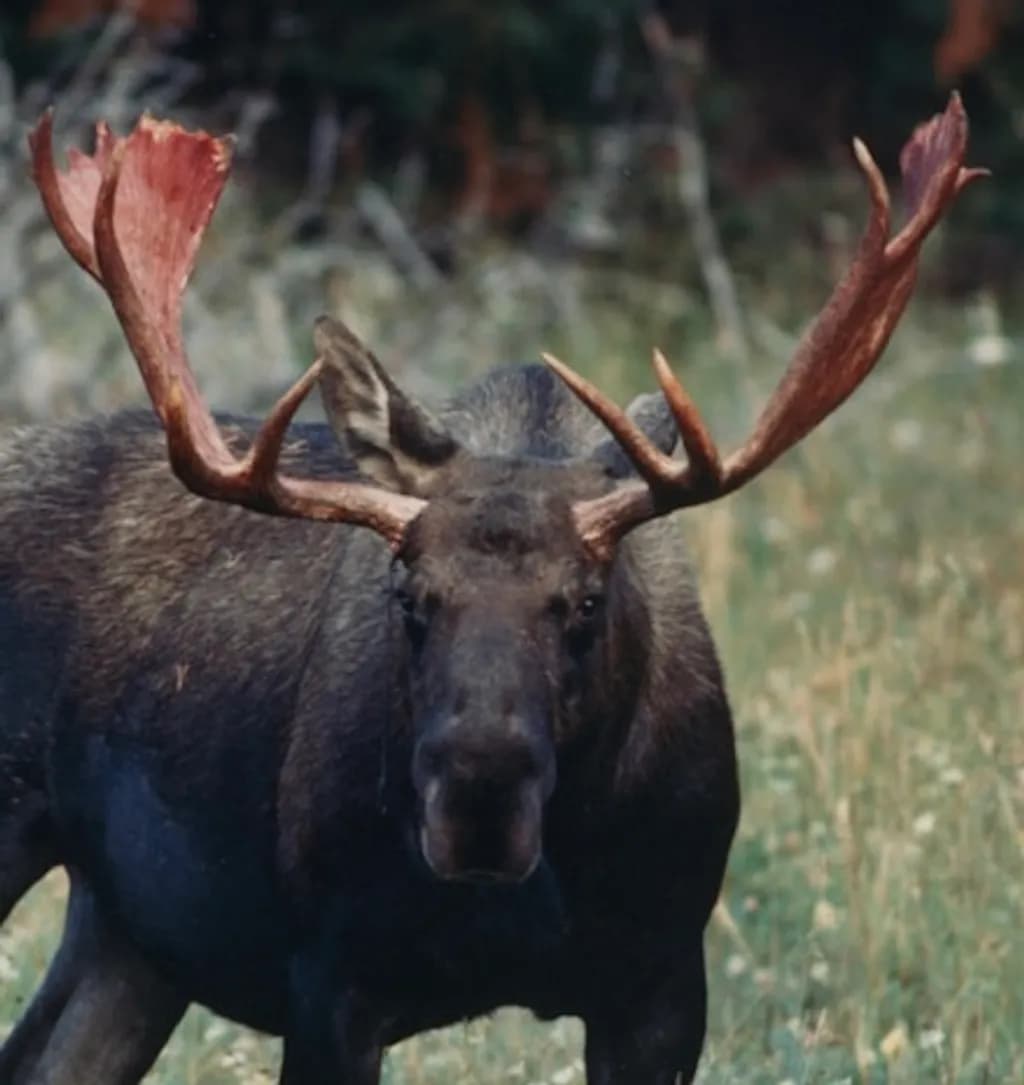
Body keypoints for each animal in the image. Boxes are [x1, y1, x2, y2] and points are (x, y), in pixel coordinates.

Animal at [0, 96, 980, 1084]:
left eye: (586, 598)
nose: (479, 795)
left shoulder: (663, 980)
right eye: (407, 595)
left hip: (129, 934)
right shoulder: (328, 972)